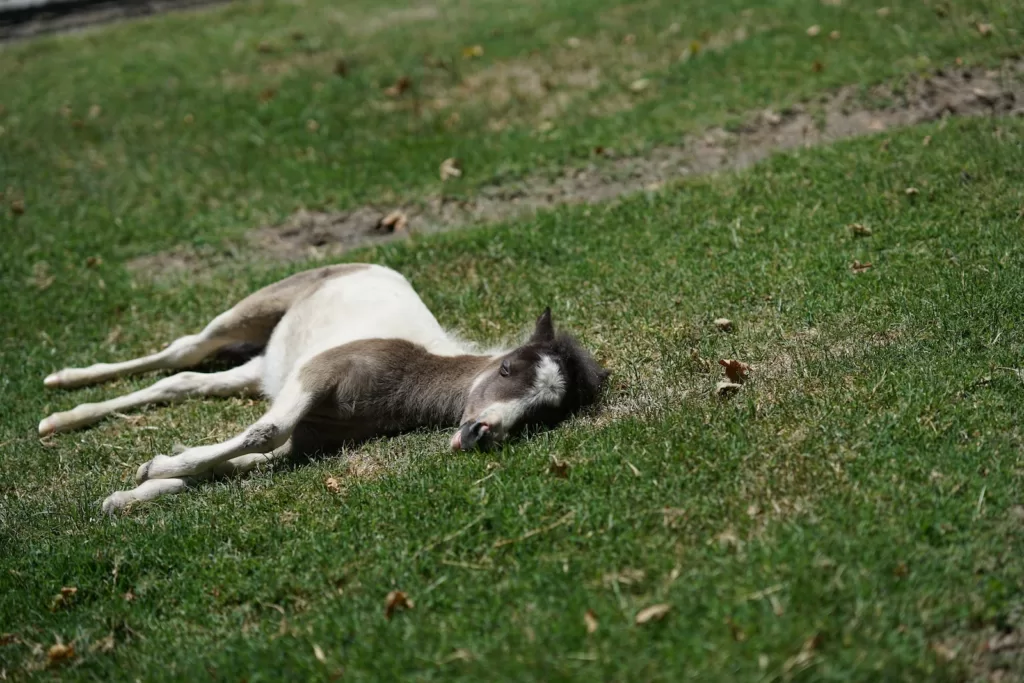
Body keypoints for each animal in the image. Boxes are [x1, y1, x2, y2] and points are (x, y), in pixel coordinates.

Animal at [39, 266, 606, 511]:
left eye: (542, 414)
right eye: (508, 369)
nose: (481, 433)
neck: (407, 376)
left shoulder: (307, 439)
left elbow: (236, 463)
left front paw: (130, 494)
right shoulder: (317, 378)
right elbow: (263, 432)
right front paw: (154, 467)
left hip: (265, 369)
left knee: (184, 381)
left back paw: (64, 417)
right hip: (251, 311)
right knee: (182, 351)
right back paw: (61, 390)